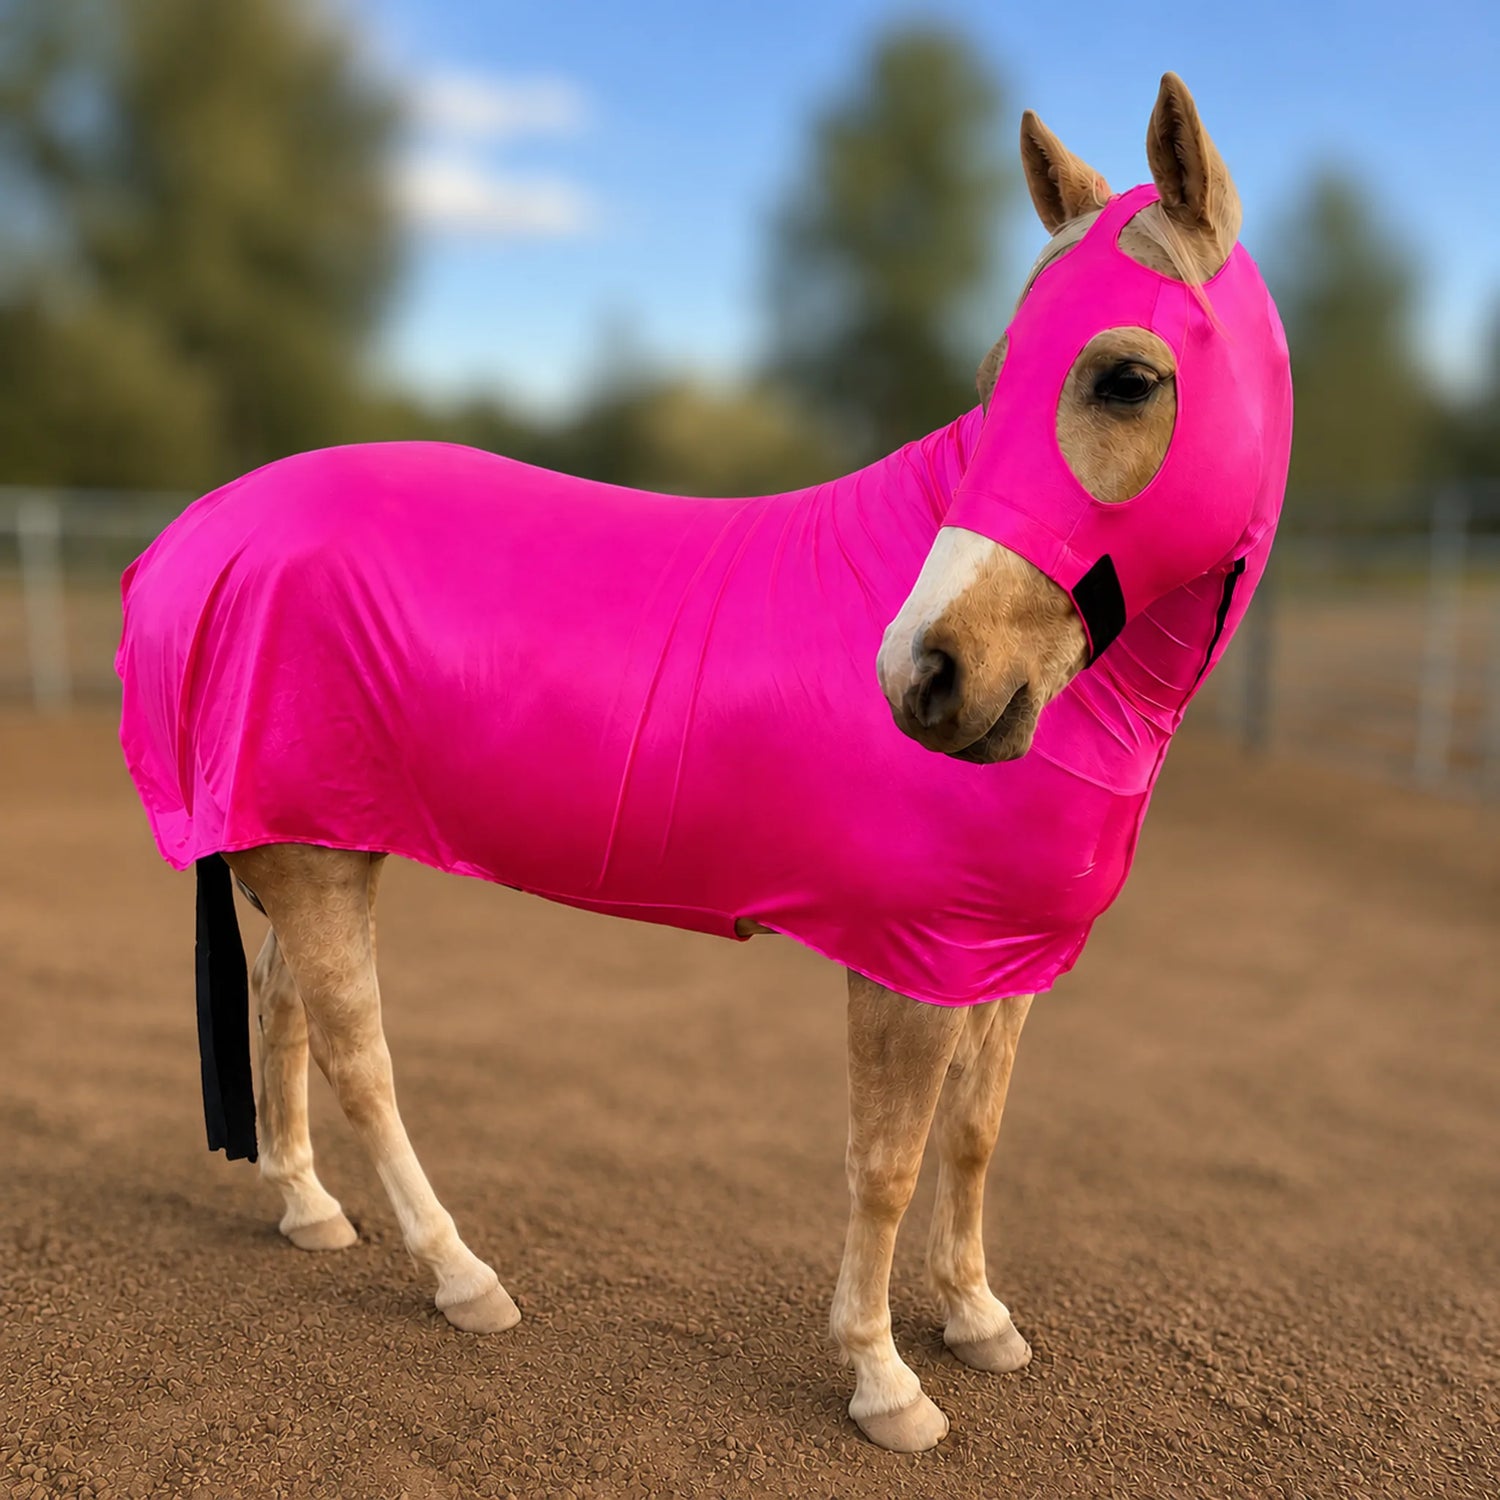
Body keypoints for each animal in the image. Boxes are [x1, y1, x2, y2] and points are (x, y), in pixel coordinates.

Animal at [115, 73, 1291, 1452]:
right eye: (999, 384)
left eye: (1125, 377)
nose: (925, 678)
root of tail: (196, 531)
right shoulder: (906, 964)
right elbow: (886, 1165)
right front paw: (884, 1380)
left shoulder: (999, 962)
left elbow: (975, 1138)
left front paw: (978, 1320)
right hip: (310, 858)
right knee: (360, 1057)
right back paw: (462, 1276)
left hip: (314, 840)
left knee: (281, 1008)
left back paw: (308, 1210)